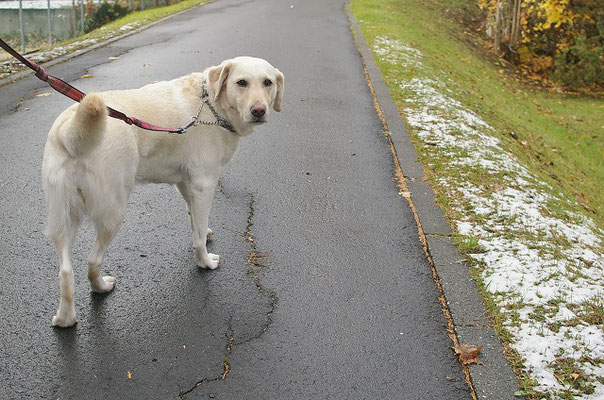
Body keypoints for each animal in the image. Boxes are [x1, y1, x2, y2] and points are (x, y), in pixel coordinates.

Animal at [42, 56, 284, 326]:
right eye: (241, 83)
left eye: (268, 82)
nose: (259, 110)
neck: (211, 105)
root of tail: (68, 130)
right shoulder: (204, 183)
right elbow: (198, 236)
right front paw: (204, 261)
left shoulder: (186, 183)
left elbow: (195, 220)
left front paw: (204, 232)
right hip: (113, 213)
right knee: (92, 261)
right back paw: (101, 287)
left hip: (64, 218)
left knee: (65, 271)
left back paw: (65, 319)